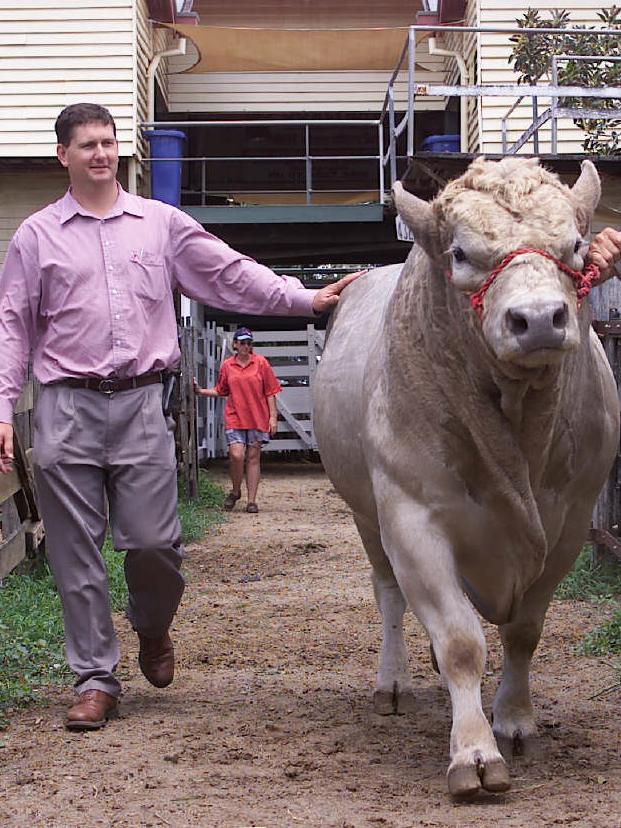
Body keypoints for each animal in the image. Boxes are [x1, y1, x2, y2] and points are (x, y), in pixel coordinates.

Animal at [314, 155, 620, 796]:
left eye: (576, 245)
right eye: (459, 253)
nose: (538, 319)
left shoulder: (570, 522)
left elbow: (523, 631)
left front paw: (515, 721)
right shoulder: (411, 517)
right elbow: (458, 639)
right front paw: (474, 752)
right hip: (366, 516)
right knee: (389, 594)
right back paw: (394, 681)